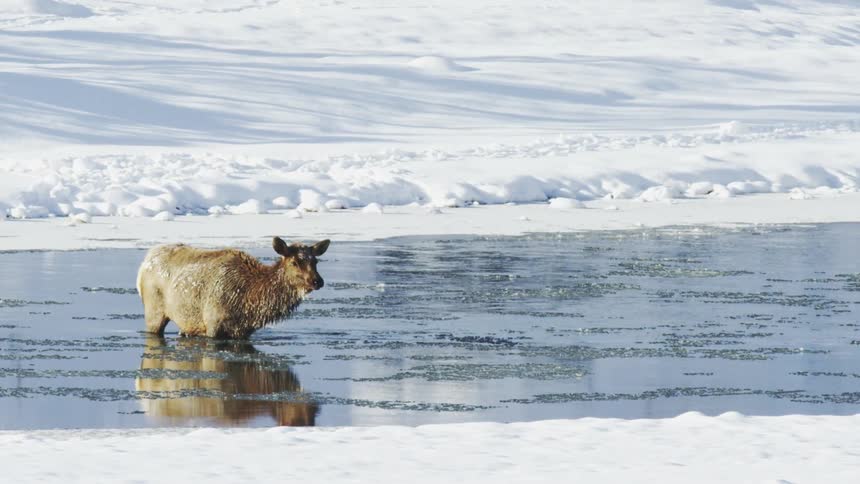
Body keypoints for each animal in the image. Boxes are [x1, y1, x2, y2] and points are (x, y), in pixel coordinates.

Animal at [137, 237, 329, 339]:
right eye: (294, 262)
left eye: (315, 261)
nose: (317, 281)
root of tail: (144, 263)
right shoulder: (213, 323)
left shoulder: (243, 332)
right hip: (154, 310)